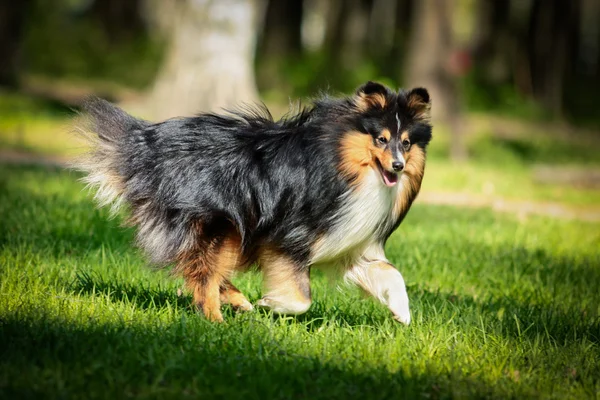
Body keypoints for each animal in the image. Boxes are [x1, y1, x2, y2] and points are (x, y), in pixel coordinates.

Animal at [76, 82, 432, 324]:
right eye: (380, 139)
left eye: (406, 143)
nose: (398, 166)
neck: (343, 164)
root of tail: (145, 144)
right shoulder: (288, 237)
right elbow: (301, 298)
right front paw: (271, 305)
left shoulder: (345, 245)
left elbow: (390, 273)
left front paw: (402, 313)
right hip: (220, 221)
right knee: (203, 273)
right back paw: (216, 320)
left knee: (197, 267)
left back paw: (235, 302)